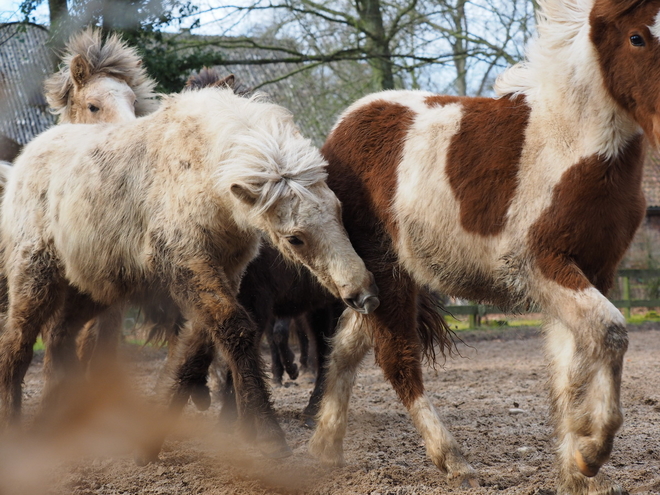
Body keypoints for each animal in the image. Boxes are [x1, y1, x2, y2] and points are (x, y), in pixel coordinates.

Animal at [0, 86, 378, 462]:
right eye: (294, 238)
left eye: (339, 210)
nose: (363, 294)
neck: (204, 172)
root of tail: (22, 163)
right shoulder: (188, 263)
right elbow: (234, 330)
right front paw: (268, 436)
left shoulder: (225, 271)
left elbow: (195, 347)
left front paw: (154, 437)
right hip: (35, 276)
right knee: (17, 343)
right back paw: (15, 426)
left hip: (93, 289)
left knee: (59, 338)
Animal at [308, 0, 656, 494]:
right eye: (637, 37)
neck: (572, 147)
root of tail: (341, 129)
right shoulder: (540, 266)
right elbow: (610, 333)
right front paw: (590, 454)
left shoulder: (594, 271)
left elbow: (571, 367)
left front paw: (576, 471)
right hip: (387, 272)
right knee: (397, 359)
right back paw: (452, 460)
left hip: (372, 284)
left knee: (345, 348)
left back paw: (324, 449)